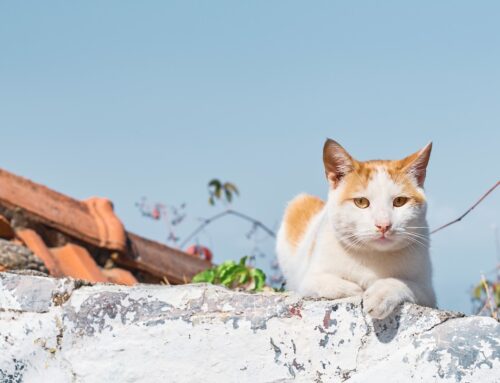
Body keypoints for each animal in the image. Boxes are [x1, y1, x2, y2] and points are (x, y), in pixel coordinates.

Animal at [276, 140, 436, 320]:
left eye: (400, 201)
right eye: (361, 202)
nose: (383, 225)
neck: (373, 256)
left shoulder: (428, 293)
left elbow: (402, 283)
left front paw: (379, 295)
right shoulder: (308, 280)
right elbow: (328, 283)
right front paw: (354, 290)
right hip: (298, 203)